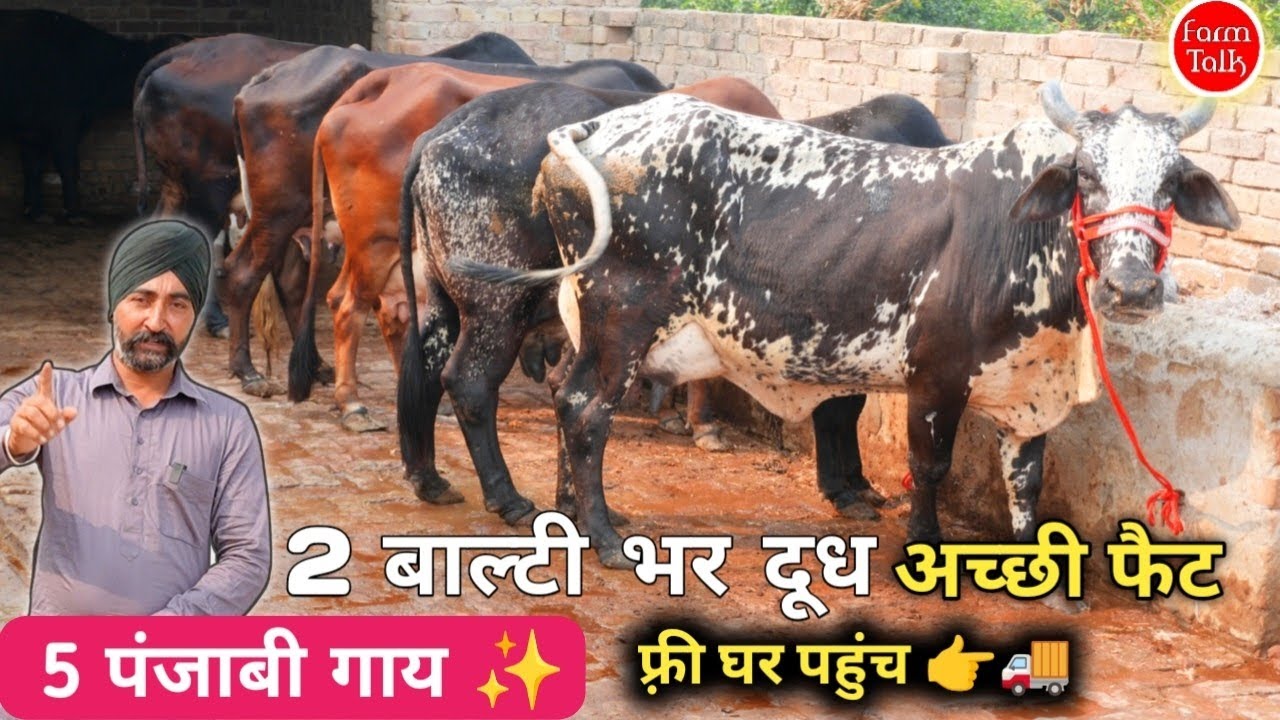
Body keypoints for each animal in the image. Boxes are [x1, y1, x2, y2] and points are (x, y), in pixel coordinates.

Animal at [0, 9, 187, 222]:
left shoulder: (31, 130)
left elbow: (33, 167)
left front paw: (34, 211)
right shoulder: (65, 124)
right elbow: (67, 164)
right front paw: (73, 212)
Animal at [453, 82, 1239, 567]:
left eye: (1171, 184)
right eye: (1087, 177)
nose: (1133, 286)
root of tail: (600, 124)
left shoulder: (1028, 391)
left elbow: (1027, 477)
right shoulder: (936, 378)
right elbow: (929, 466)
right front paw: (922, 543)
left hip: (585, 320)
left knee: (564, 392)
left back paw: (569, 513)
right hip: (622, 318)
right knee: (585, 406)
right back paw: (605, 536)